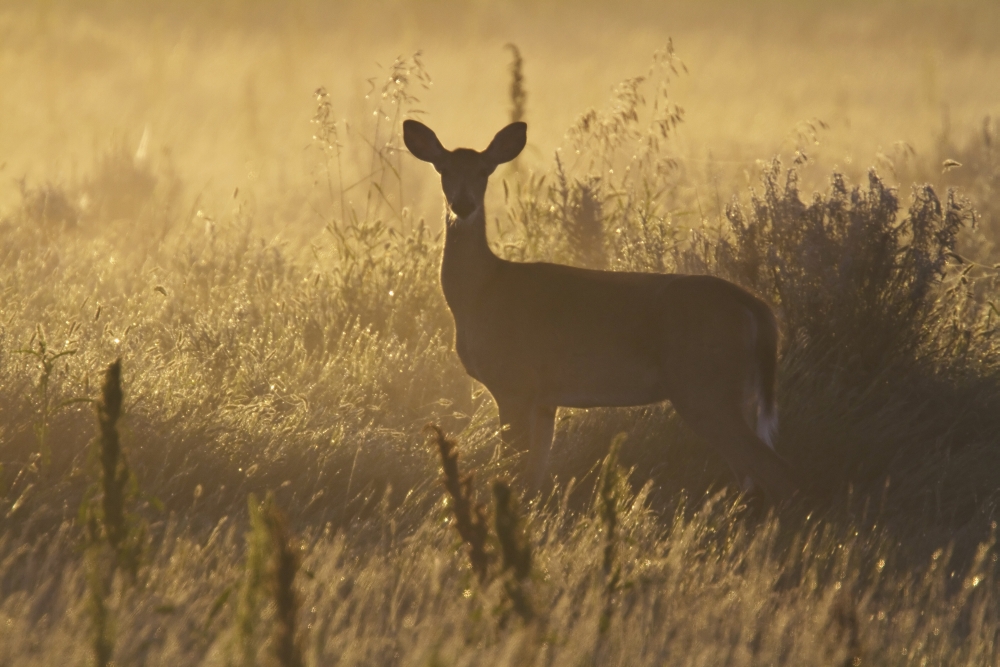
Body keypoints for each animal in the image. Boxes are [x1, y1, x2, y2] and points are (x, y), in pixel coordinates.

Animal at [403, 119, 796, 502]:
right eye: (443, 168)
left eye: (485, 170)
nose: (463, 205)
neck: (481, 291)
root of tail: (756, 306)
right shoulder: (544, 399)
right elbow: (533, 480)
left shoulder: (514, 382)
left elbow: (511, 472)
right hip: (737, 392)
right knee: (752, 476)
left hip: (703, 385)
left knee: (775, 470)